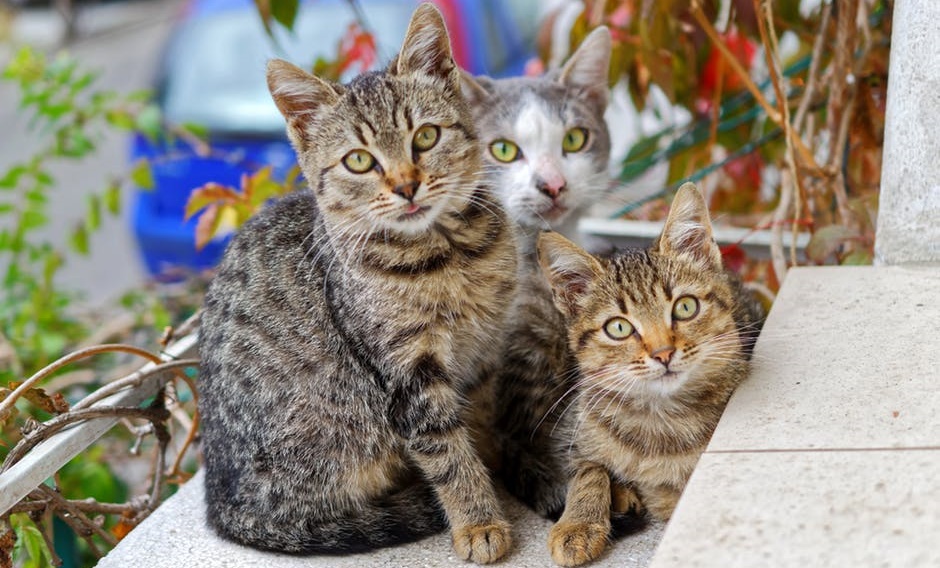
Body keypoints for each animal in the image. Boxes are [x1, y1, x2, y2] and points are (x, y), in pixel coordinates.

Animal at [198, 5, 516, 564]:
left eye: (425, 137)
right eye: (359, 161)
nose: (407, 185)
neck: (450, 255)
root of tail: (222, 505)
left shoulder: (481, 355)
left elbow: (474, 424)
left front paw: (488, 474)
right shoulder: (406, 372)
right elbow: (447, 450)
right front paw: (478, 521)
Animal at [536, 184, 764, 564]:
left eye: (685, 307)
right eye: (618, 327)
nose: (663, 353)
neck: (658, 419)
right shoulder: (569, 431)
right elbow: (587, 467)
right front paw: (578, 523)